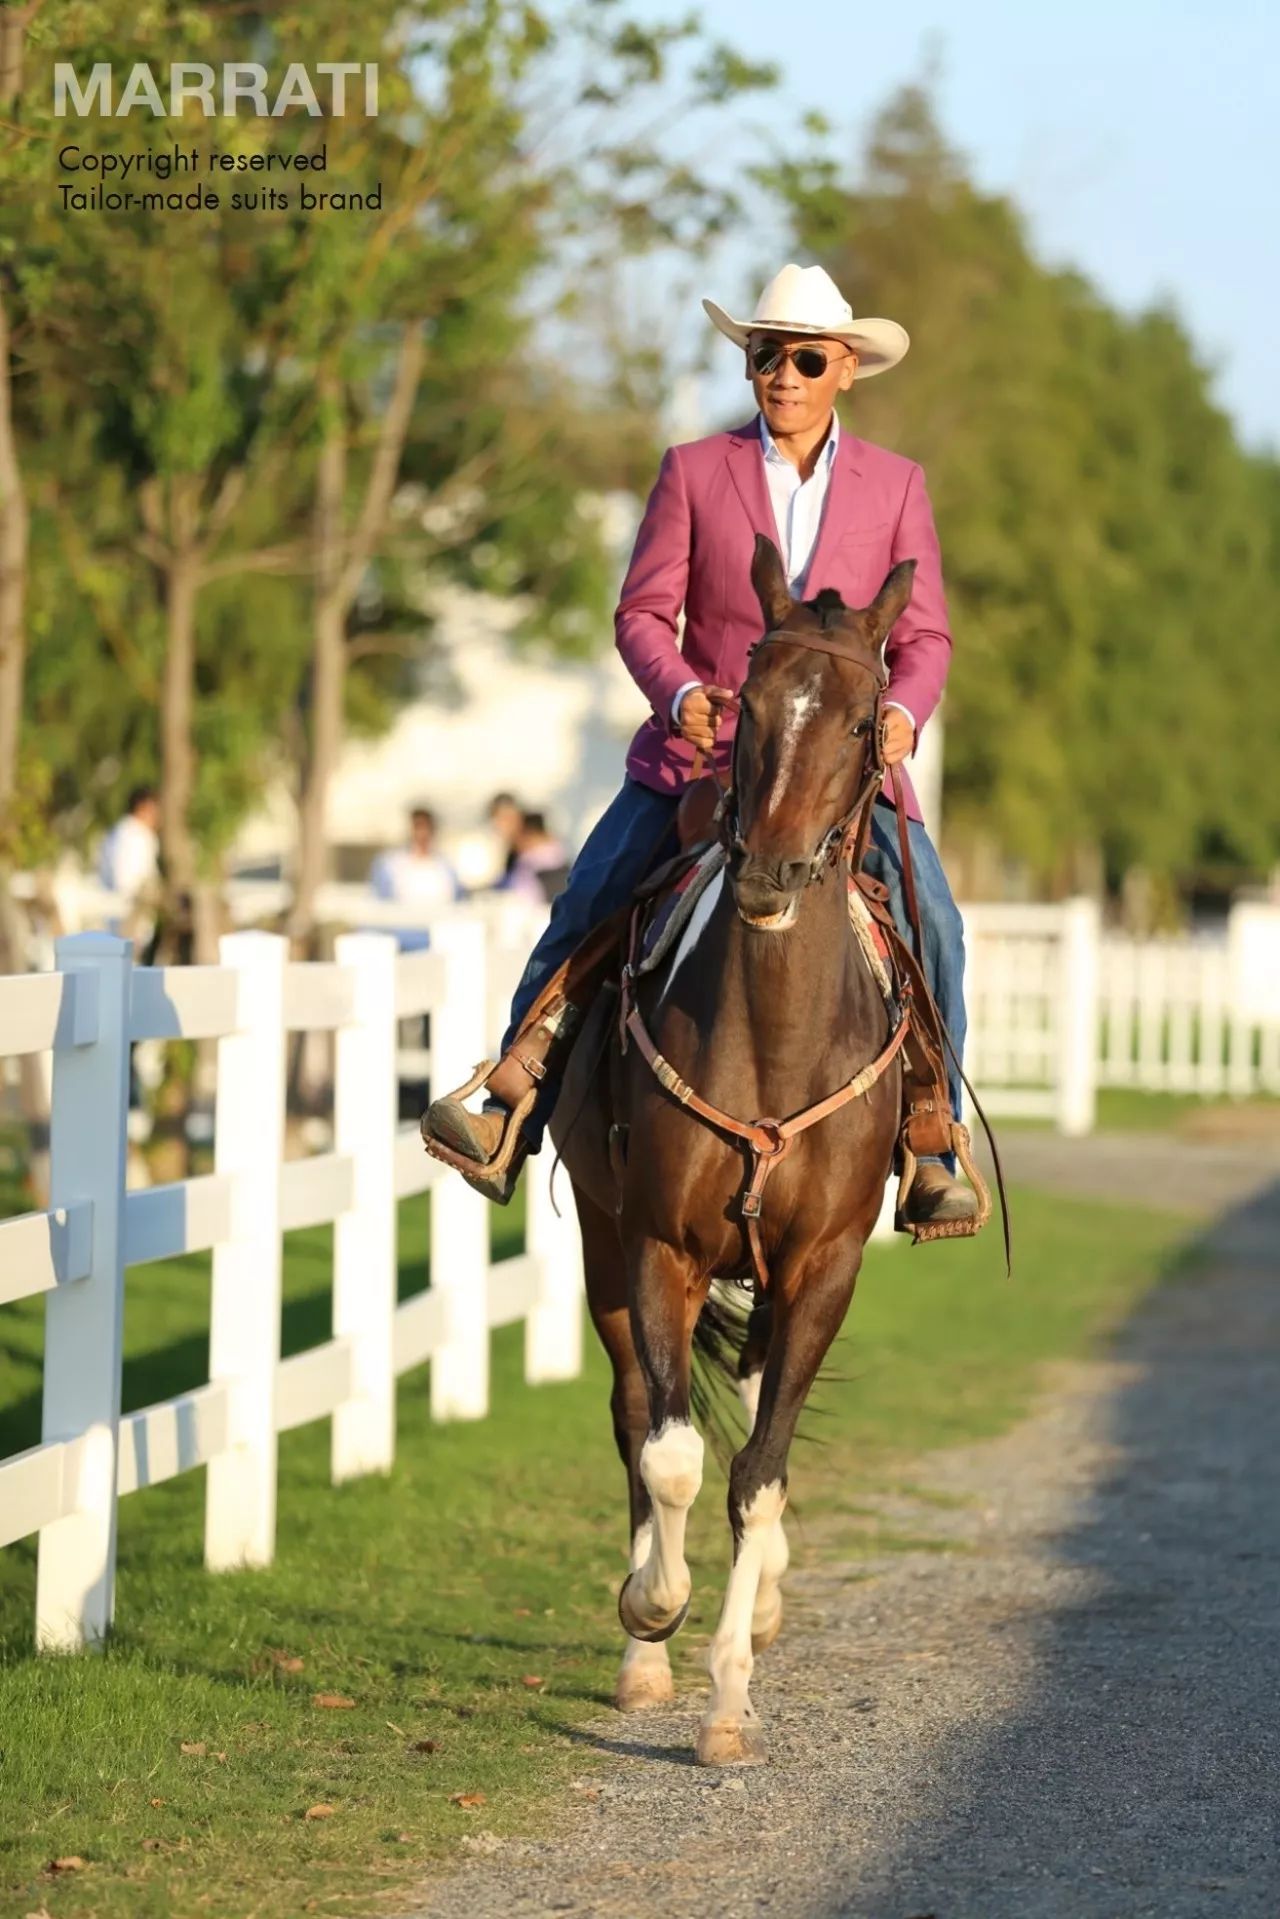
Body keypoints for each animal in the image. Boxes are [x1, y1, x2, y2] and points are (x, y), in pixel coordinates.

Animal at [552, 533, 921, 1757]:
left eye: (860, 722)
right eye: (747, 705)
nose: (765, 873)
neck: (773, 1034)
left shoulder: (824, 1268)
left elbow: (759, 1472)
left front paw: (728, 1690)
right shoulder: (657, 1244)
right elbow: (669, 1452)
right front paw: (652, 1615)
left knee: (760, 1412)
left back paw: (756, 1605)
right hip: (604, 1242)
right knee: (634, 1414)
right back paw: (644, 1645)